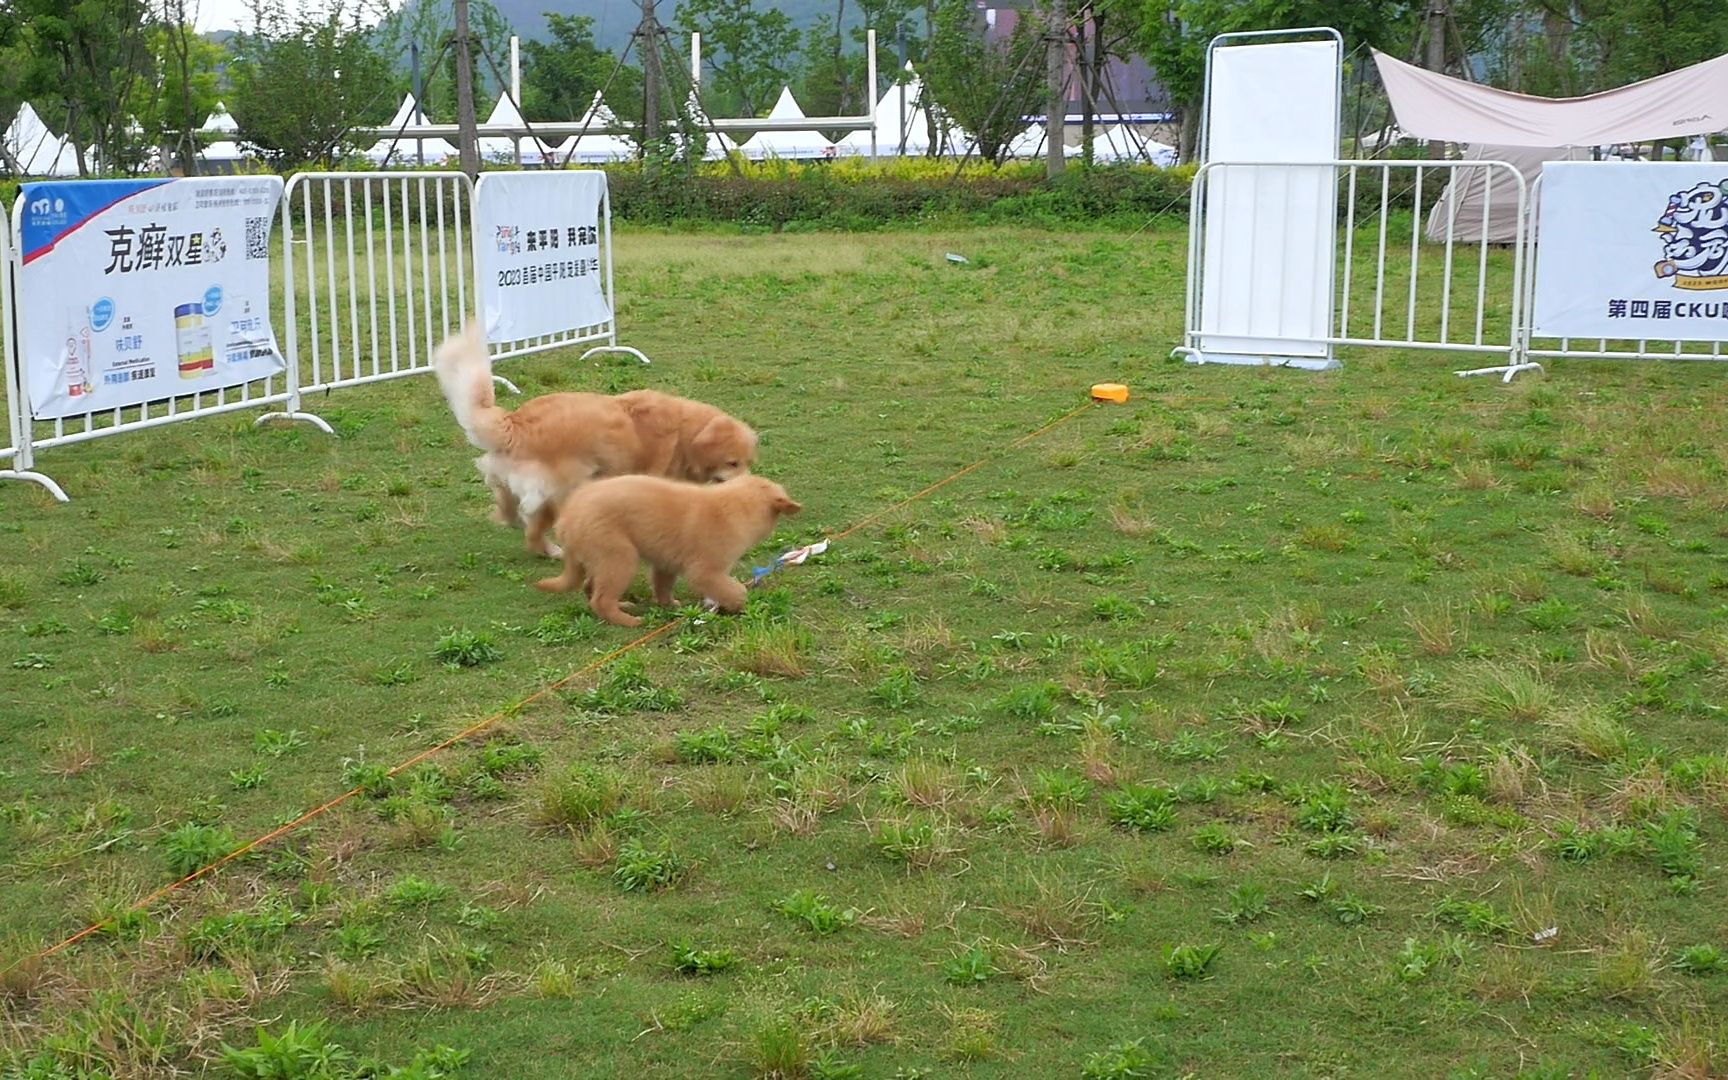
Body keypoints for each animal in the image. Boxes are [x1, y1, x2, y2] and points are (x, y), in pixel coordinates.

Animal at [532, 476, 801, 628]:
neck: (738, 505)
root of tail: (567, 518)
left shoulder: (666, 561)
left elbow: (662, 584)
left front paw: (669, 604)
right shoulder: (706, 570)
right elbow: (731, 588)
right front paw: (740, 604)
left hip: (600, 556)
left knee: (591, 587)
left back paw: (622, 605)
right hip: (618, 553)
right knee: (601, 598)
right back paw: (627, 620)